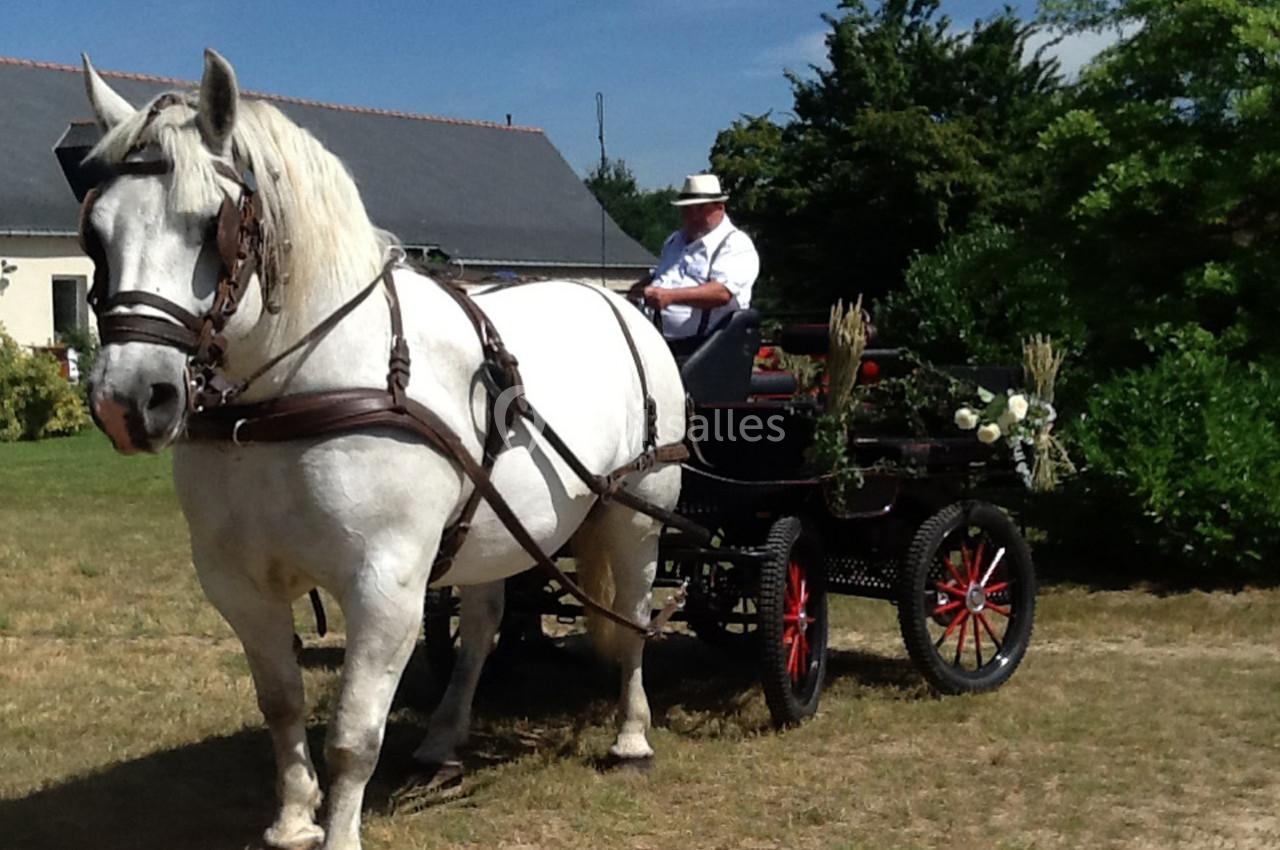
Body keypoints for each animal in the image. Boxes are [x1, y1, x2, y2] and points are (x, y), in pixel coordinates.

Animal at [80, 49, 685, 850]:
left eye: (212, 225)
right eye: (95, 234)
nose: (128, 401)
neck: (291, 392)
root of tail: (621, 302)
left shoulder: (386, 582)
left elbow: (351, 736)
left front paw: (336, 831)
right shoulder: (237, 581)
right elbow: (281, 704)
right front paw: (293, 823)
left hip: (636, 513)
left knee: (636, 615)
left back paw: (631, 736)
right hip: (493, 526)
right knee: (485, 623)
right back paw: (445, 737)